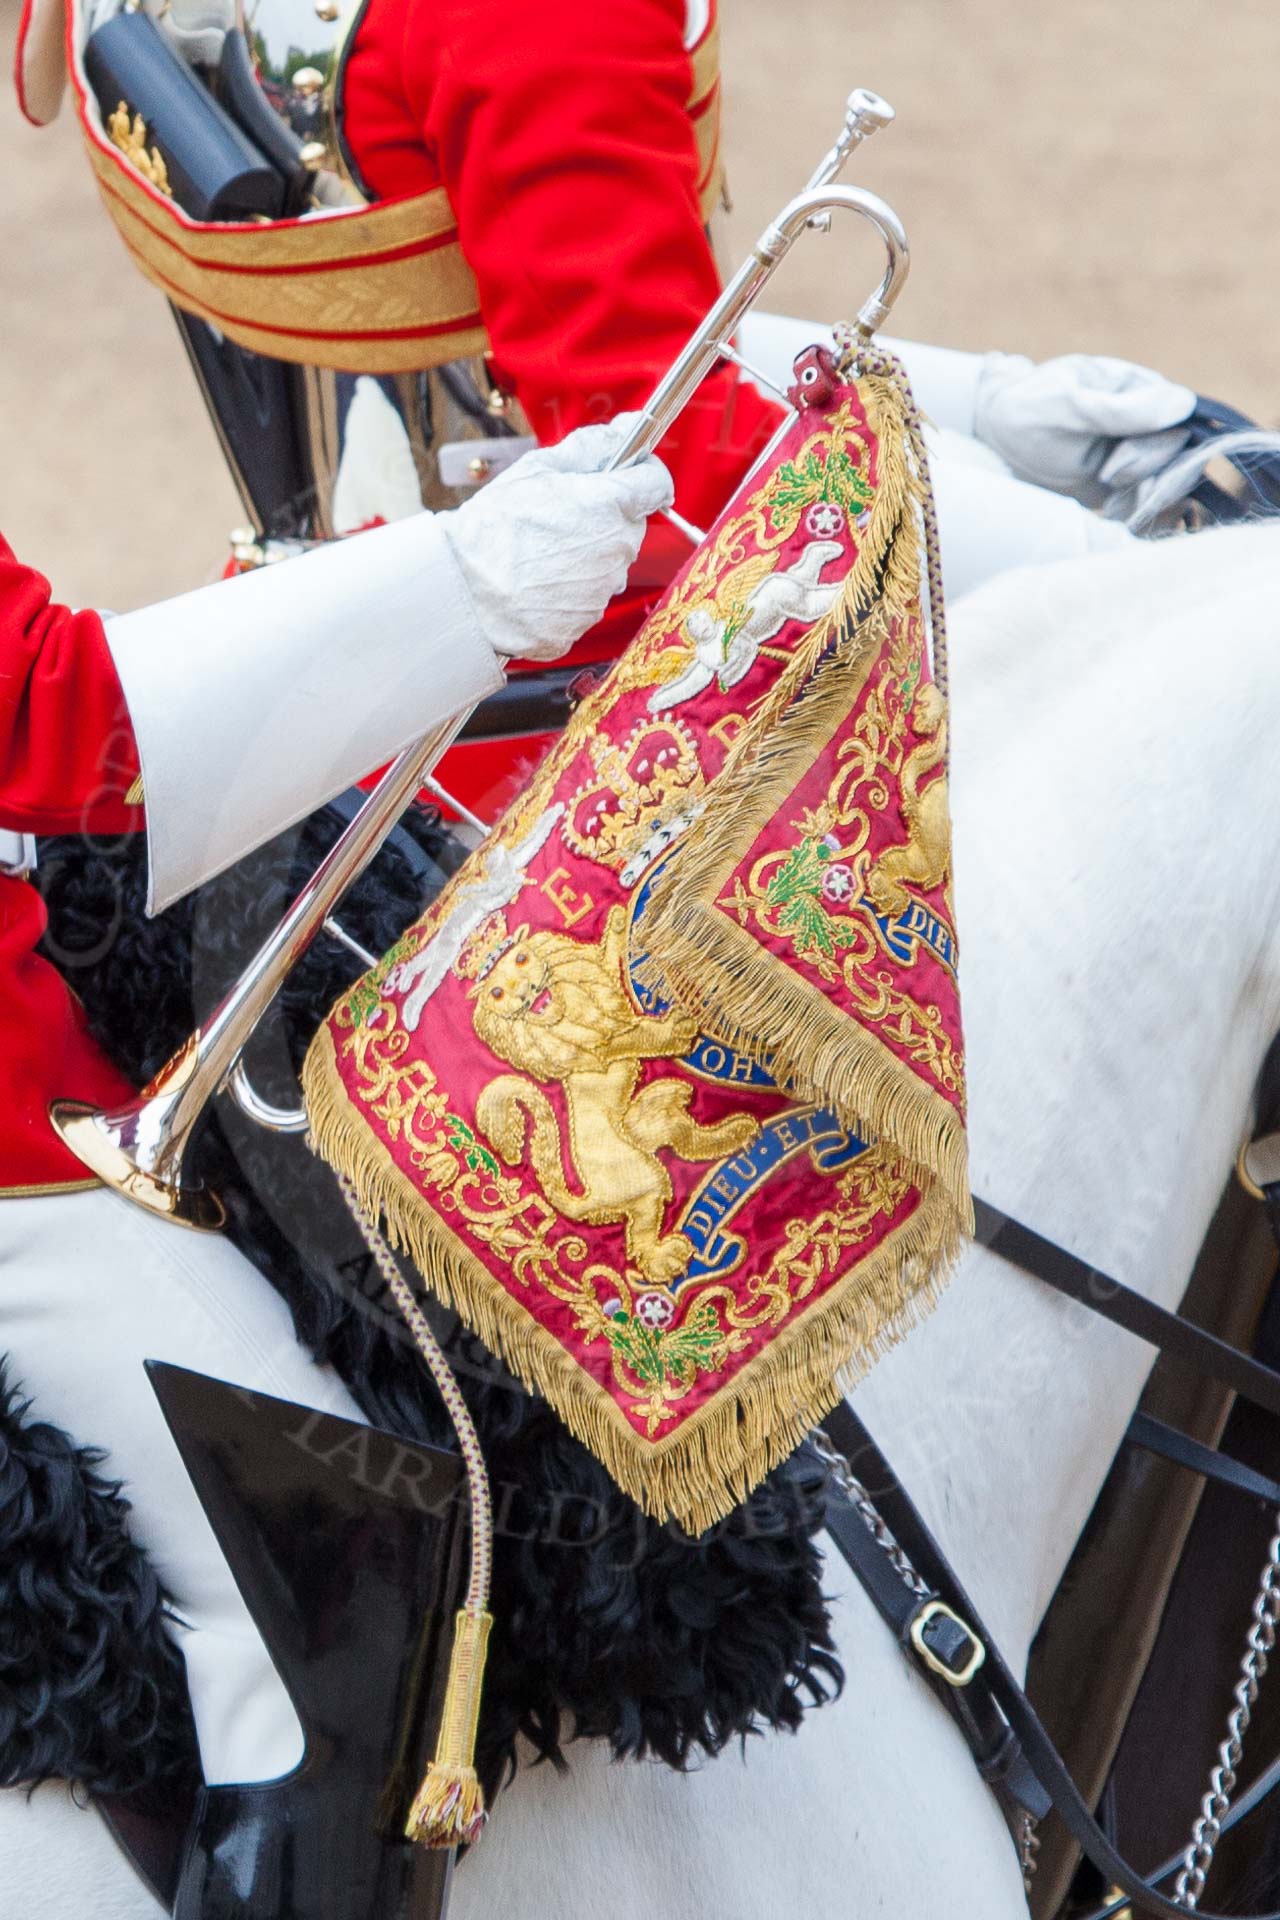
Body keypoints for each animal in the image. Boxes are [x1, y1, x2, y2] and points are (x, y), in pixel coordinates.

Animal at [474, 902, 759, 1290]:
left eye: (521, 958)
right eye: (497, 994)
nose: (525, 993)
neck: (565, 1011)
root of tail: (593, 1197)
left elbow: (608, 960)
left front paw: (618, 924)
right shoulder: (599, 1047)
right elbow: (631, 1038)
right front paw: (674, 1031)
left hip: (654, 1117)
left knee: (686, 1137)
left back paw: (736, 1133)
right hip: (644, 1179)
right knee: (642, 1231)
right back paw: (665, 1259)